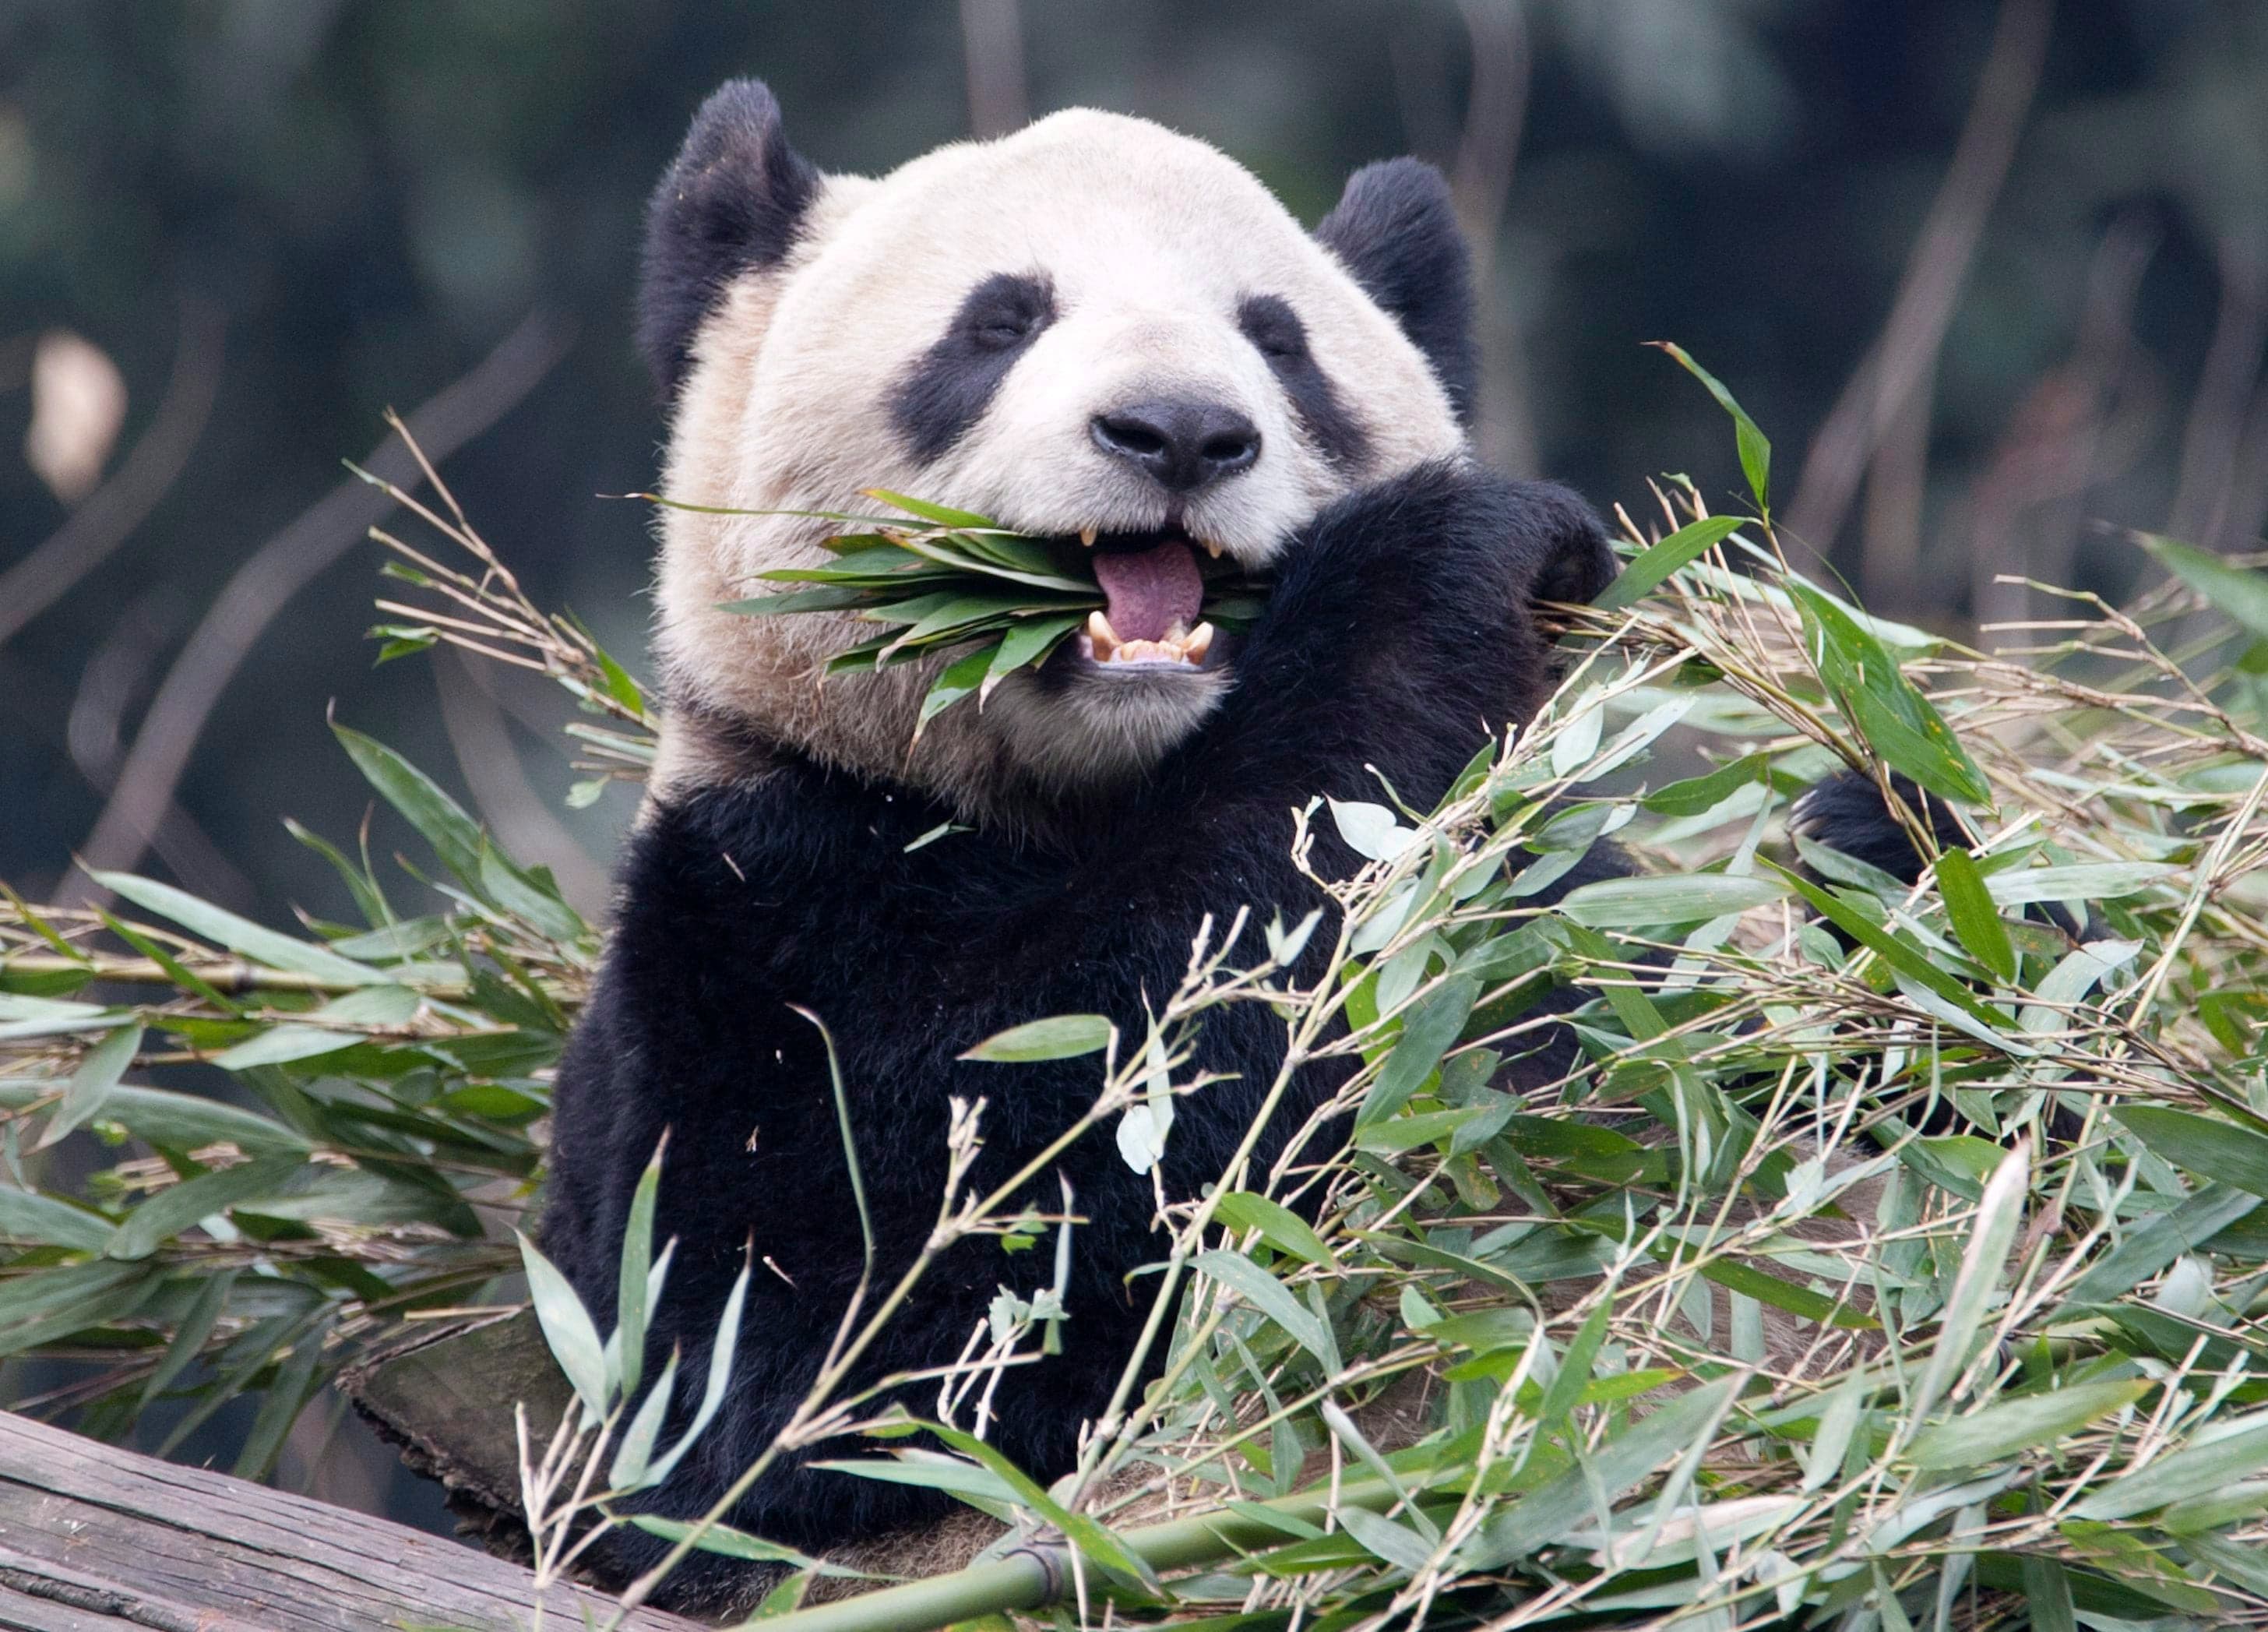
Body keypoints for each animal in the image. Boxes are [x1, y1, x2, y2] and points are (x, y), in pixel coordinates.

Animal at [539, 80, 1917, 1595]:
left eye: (1278, 338)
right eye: (996, 322)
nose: (1182, 431)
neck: (1096, 786)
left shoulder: (1557, 906)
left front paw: (1873, 854)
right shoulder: (754, 913)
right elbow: (858, 1318)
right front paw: (1448, 552)